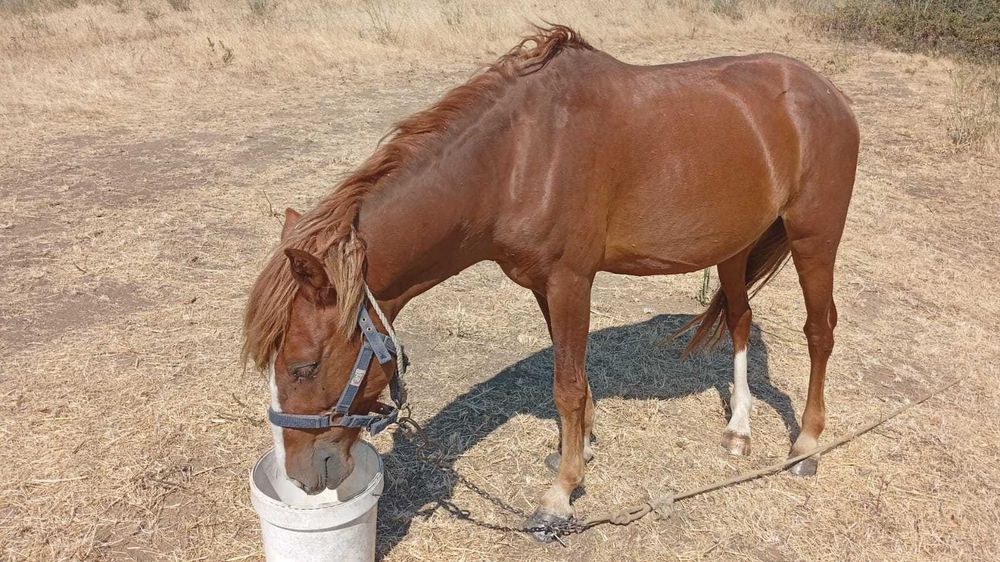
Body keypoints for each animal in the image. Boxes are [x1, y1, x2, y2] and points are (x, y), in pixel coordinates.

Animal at [242, 25, 859, 532]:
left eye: (303, 366)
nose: (302, 476)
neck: (518, 158)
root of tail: (829, 94)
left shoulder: (570, 280)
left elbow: (566, 384)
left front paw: (560, 494)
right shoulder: (544, 284)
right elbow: (574, 377)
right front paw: (579, 447)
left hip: (814, 238)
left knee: (820, 331)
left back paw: (806, 446)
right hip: (734, 245)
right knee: (739, 319)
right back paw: (738, 429)